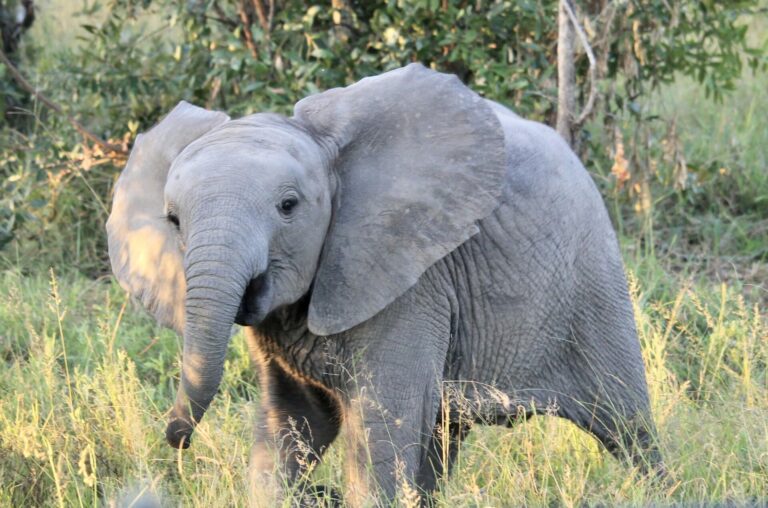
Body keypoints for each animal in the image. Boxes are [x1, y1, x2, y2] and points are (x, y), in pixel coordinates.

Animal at [105, 64, 664, 504]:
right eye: (173, 220)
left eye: (288, 206)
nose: (176, 440)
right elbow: (292, 422)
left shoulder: (410, 284)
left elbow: (379, 428)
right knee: (442, 434)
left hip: (592, 277)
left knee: (626, 424)